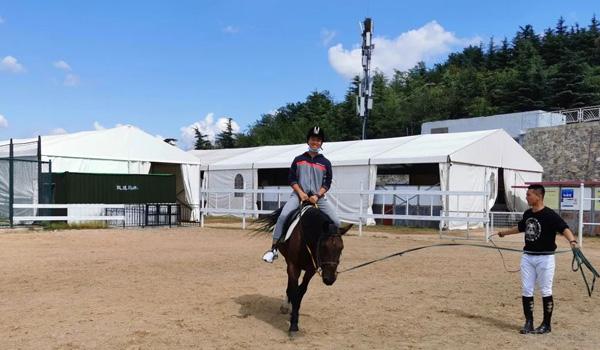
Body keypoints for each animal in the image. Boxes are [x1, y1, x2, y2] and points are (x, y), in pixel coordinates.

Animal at [258, 201, 352, 332]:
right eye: (323, 246)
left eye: (341, 248)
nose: (329, 279)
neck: (305, 238)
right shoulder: (293, 266)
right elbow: (294, 289)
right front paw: (293, 324)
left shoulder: (311, 270)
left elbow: (301, 291)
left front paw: (294, 317)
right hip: (288, 262)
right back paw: (285, 305)